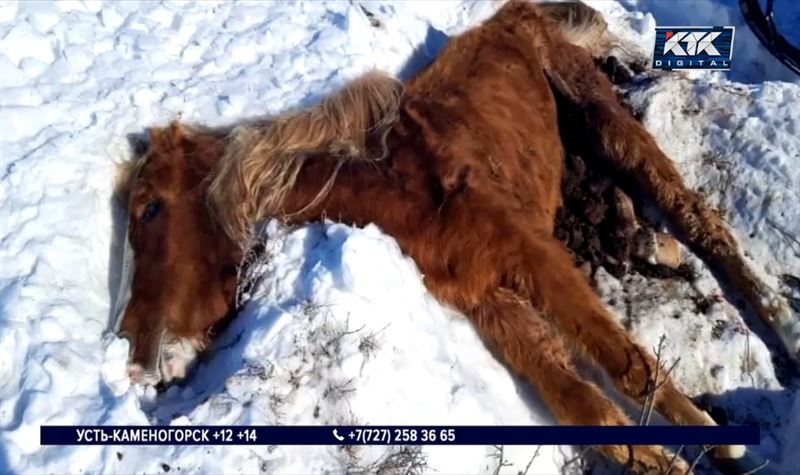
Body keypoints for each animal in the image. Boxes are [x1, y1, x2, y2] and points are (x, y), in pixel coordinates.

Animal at [114, 0, 792, 475]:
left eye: (148, 209)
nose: (135, 356)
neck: (393, 183)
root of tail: (514, 12)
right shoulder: (486, 297)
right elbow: (580, 403)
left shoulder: (530, 253)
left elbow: (625, 363)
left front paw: (713, 441)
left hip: (601, 115)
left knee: (697, 218)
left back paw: (781, 326)